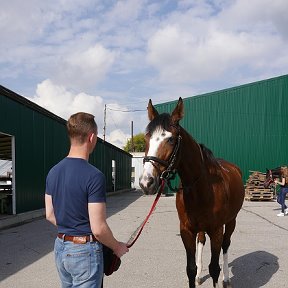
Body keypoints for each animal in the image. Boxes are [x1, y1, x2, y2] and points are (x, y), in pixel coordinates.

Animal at [138, 98, 244, 286]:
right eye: (147, 138)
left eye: (171, 139)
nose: (146, 182)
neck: (201, 188)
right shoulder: (186, 231)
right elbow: (190, 268)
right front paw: (195, 274)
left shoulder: (216, 231)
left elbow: (214, 268)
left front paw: (218, 276)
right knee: (201, 241)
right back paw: (200, 276)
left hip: (231, 221)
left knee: (226, 245)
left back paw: (226, 279)